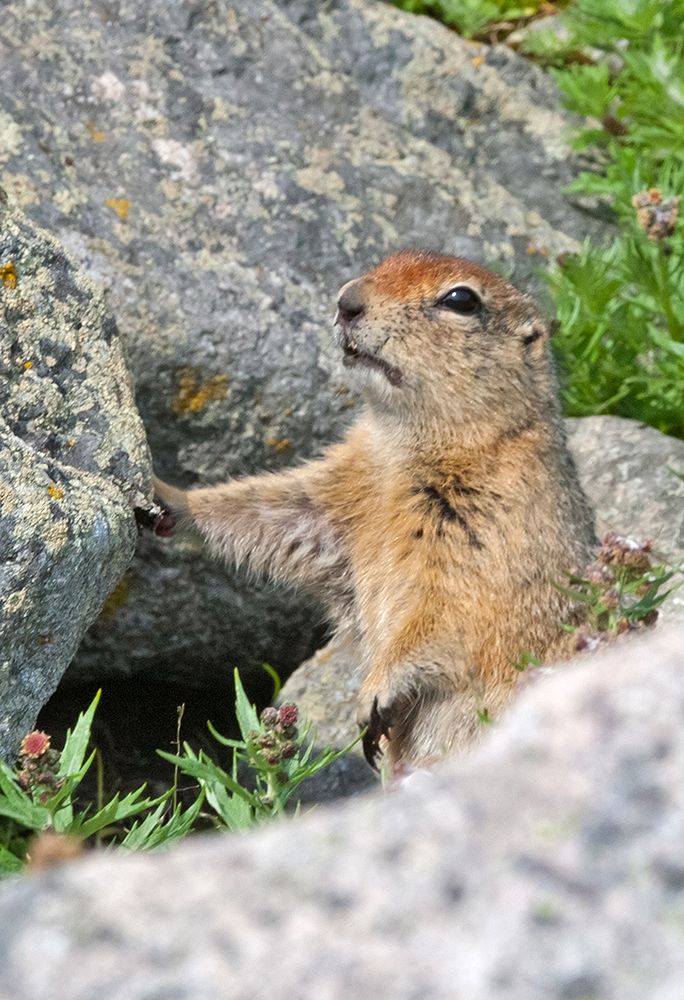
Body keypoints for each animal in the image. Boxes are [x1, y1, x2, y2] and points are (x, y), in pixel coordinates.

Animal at [151, 250, 596, 773]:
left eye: (460, 300)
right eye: (387, 260)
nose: (347, 300)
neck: (402, 447)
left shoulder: (492, 520)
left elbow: (448, 612)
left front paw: (373, 697)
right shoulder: (343, 486)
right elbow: (280, 510)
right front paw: (168, 496)